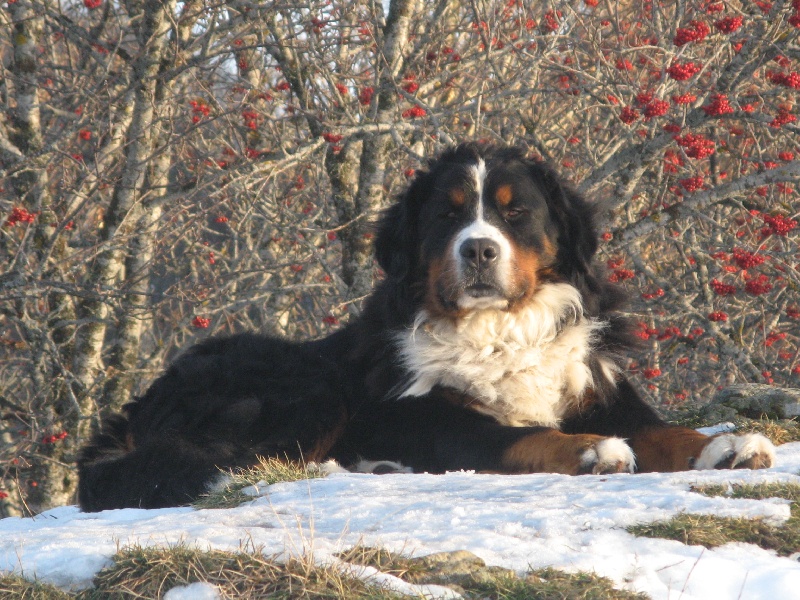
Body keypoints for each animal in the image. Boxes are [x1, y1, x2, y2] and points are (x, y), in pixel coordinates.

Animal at [76, 144, 776, 510]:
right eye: (447, 215)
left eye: (516, 214)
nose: (480, 250)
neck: (499, 329)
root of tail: (142, 400)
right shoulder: (424, 416)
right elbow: (513, 435)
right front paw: (588, 450)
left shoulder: (598, 389)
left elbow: (663, 430)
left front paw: (726, 445)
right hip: (303, 384)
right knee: (236, 461)